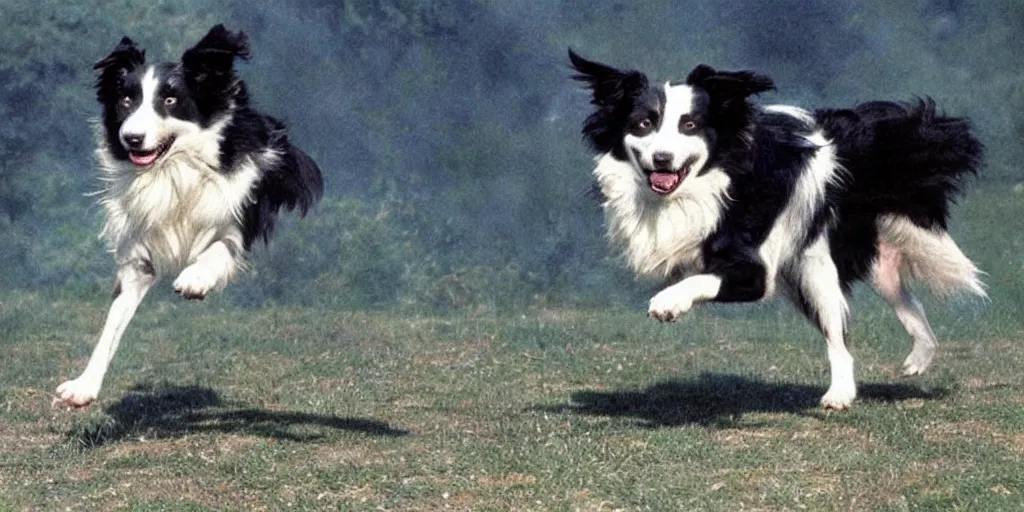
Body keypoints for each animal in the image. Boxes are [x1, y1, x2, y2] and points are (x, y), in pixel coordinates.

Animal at [52, 24, 323, 407]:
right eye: (126, 101)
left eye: (170, 100)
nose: (132, 138)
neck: (174, 172)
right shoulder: (138, 248)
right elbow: (114, 320)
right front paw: (82, 387)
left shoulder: (237, 208)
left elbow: (221, 247)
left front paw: (195, 279)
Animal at [573, 49, 987, 409]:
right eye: (644, 123)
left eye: (689, 125)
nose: (662, 158)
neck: (700, 187)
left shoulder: (754, 267)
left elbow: (709, 278)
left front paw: (667, 304)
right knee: (900, 292)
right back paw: (919, 355)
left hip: (816, 267)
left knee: (839, 336)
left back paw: (840, 395)